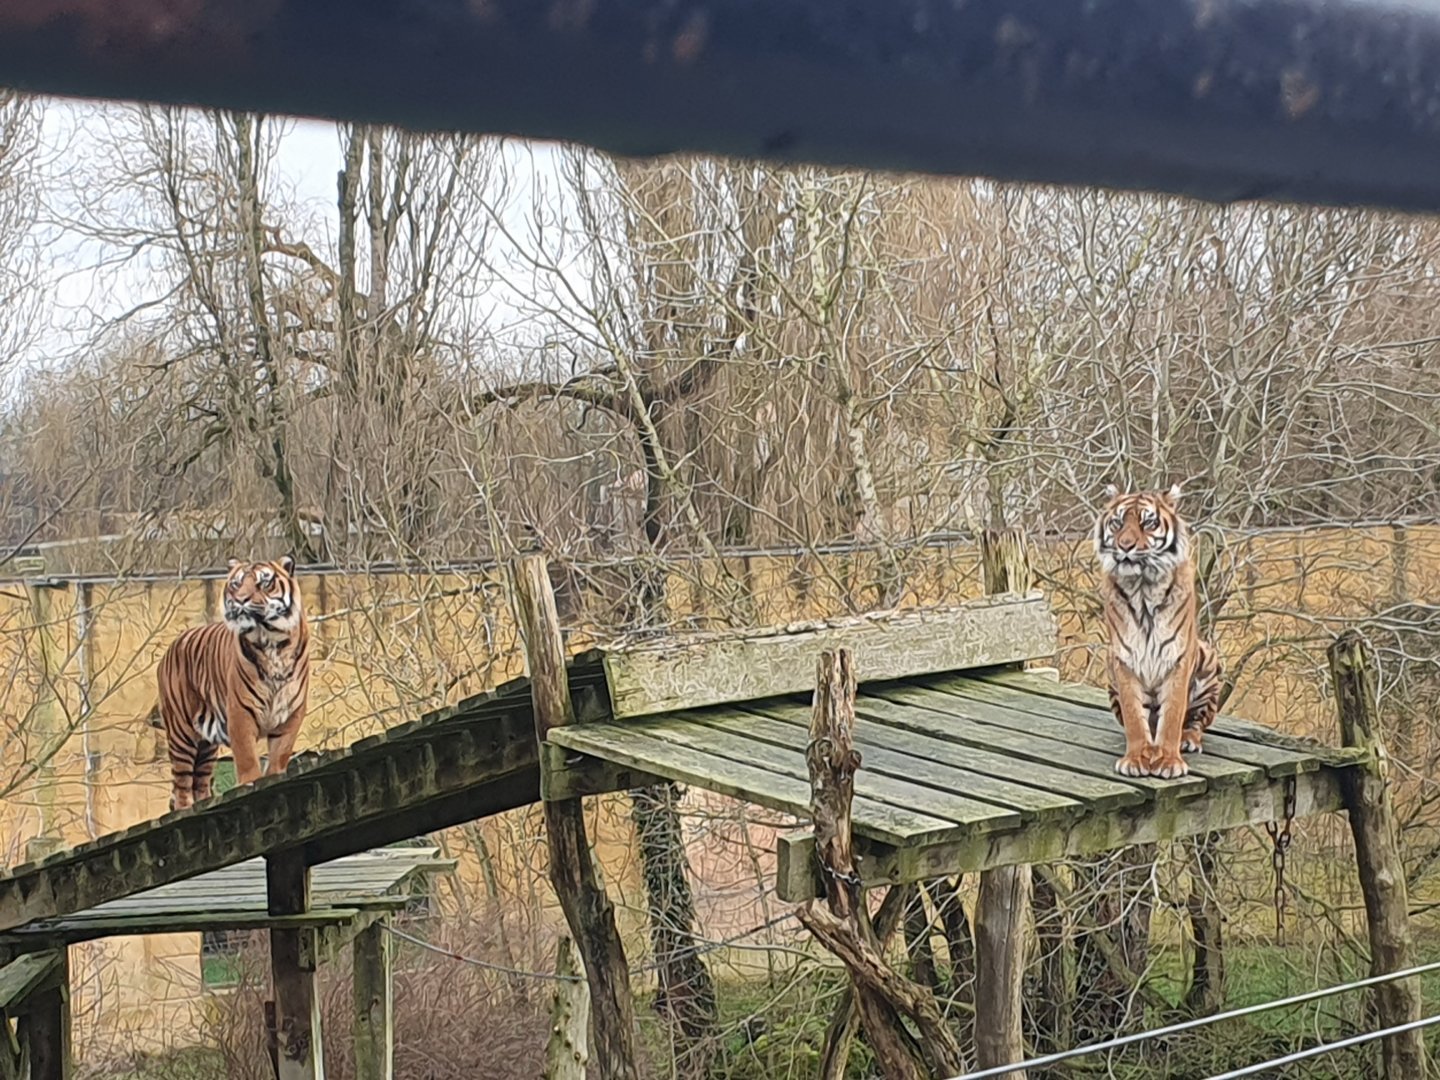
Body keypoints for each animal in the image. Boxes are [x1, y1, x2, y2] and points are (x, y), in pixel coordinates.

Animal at [154, 556, 310, 810]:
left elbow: (280, 755)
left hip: (206, 746)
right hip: (181, 732)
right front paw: (250, 783)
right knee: (182, 783)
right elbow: (247, 756)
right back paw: (185, 807)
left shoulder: (291, 714)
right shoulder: (240, 712)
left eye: (264, 583)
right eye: (236, 584)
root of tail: (170, 648)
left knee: (200, 780)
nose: (240, 600)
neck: (272, 642)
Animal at [1094, 484, 1222, 779]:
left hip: (1208, 660)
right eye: (1118, 523)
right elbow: (1133, 715)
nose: (1125, 545)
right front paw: (1136, 758)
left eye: (1147, 523)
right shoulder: (1124, 659)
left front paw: (1169, 761)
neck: (1142, 587)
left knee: (1195, 722)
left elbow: (1173, 714)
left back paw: (1187, 740)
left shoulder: (1178, 657)